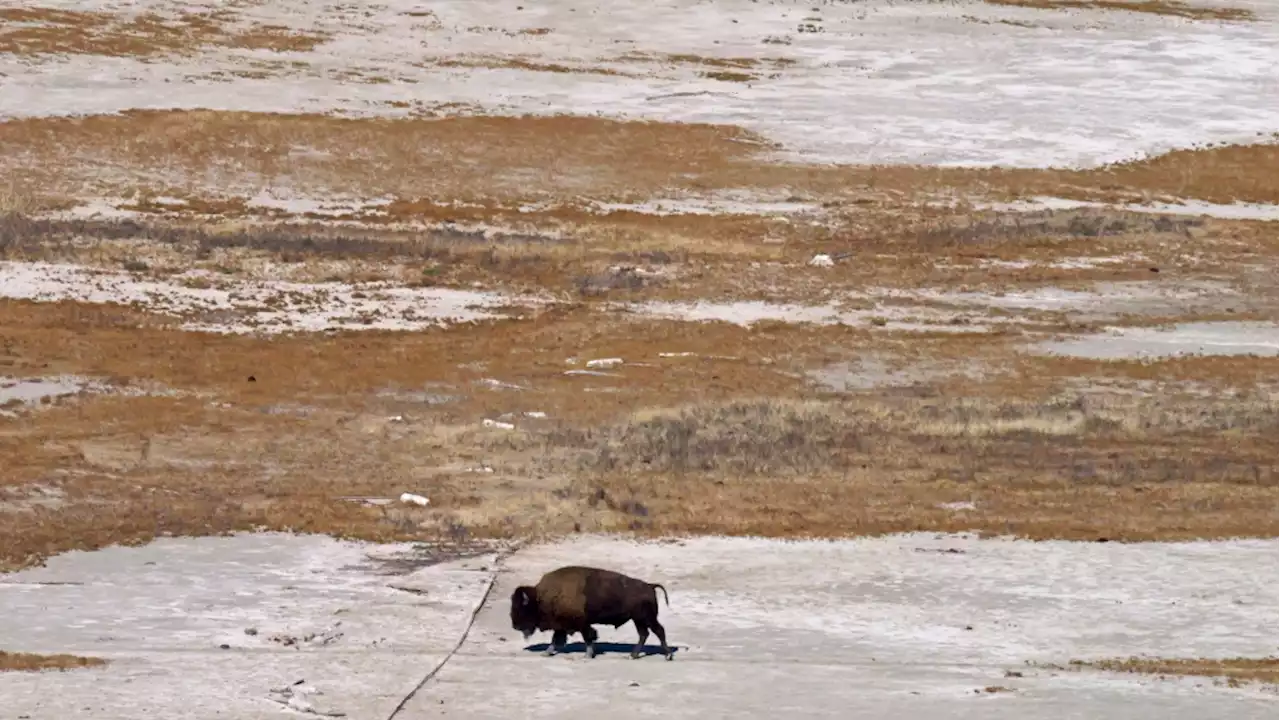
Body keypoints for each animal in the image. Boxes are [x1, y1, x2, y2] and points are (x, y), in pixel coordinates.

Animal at [509, 563, 675, 661]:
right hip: (639, 620)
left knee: (658, 631)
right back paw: (633, 655)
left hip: (646, 618)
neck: (540, 597)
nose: (515, 626)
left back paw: (667, 655)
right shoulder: (562, 625)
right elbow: (556, 639)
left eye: (521, 607)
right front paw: (546, 652)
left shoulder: (581, 623)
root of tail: (649, 585)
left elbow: (588, 637)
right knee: (644, 634)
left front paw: (587, 655)